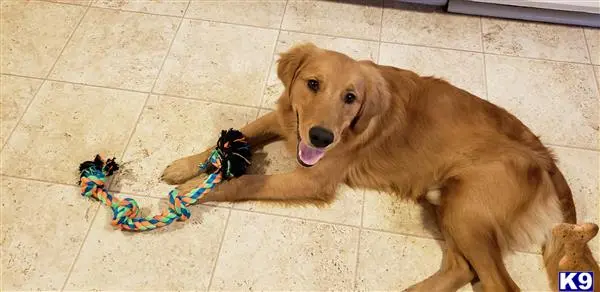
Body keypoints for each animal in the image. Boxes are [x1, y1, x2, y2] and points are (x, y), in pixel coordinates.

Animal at [162, 44, 596, 292]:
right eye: (313, 84)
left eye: (351, 97)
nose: (322, 137)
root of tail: (543, 157)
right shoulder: (285, 118)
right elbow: (239, 135)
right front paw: (186, 166)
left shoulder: (313, 177)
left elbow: (246, 182)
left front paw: (192, 192)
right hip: (451, 207)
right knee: (461, 268)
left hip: (467, 211)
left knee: (498, 283)